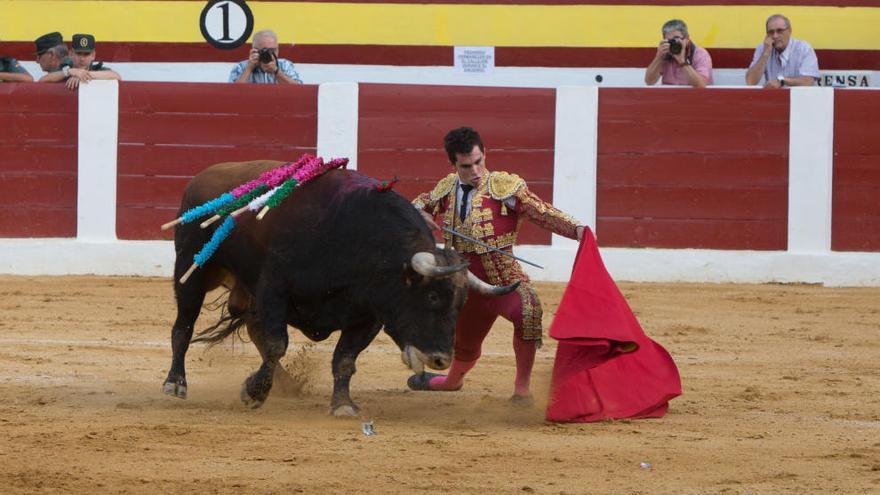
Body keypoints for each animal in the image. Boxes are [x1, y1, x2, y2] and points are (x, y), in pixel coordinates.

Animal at [163, 161, 516, 416]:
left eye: (461, 305)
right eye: (431, 296)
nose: (440, 359)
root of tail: (200, 179)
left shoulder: (368, 316)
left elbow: (344, 359)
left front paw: (343, 404)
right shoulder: (275, 290)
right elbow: (278, 344)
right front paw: (253, 393)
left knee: (252, 327)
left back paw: (285, 384)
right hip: (192, 270)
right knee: (183, 328)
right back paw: (175, 383)